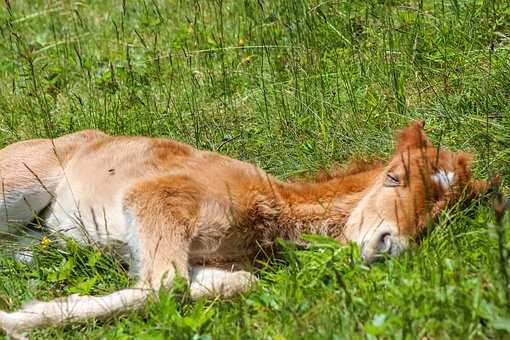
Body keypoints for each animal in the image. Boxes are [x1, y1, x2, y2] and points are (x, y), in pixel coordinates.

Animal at [0, 121, 486, 334]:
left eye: (440, 214)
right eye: (394, 177)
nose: (387, 245)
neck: (272, 212)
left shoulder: (221, 261)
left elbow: (235, 285)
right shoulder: (156, 197)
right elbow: (164, 284)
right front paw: (17, 319)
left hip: (37, 242)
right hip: (17, 186)